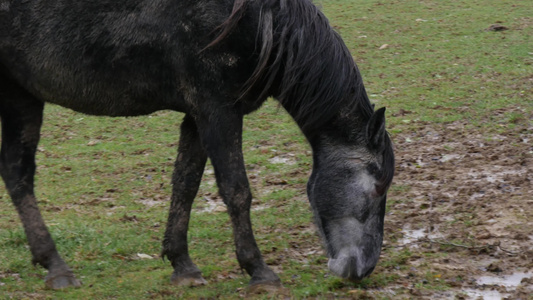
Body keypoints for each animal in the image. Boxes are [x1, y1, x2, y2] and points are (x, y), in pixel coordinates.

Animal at [0, 0, 392, 292]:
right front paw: (259, 271)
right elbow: (236, 190)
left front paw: (182, 265)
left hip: (22, 96)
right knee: (19, 175)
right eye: (376, 188)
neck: (257, 21)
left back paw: (51, 264)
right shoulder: (218, 111)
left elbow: (185, 185)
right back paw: (57, 267)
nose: (363, 270)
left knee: (17, 174)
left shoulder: (197, 116)